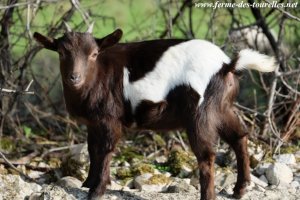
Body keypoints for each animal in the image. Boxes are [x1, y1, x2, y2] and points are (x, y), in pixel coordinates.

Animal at [33, 27, 276, 200]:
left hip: (201, 111)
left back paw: (209, 196)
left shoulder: (109, 118)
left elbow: (106, 150)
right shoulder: (93, 122)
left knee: (207, 155)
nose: (74, 77)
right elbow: (93, 149)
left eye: (93, 54)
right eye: (61, 52)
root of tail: (228, 64)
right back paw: (240, 189)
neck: (98, 76)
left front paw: (97, 191)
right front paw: (87, 183)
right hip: (222, 107)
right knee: (239, 136)